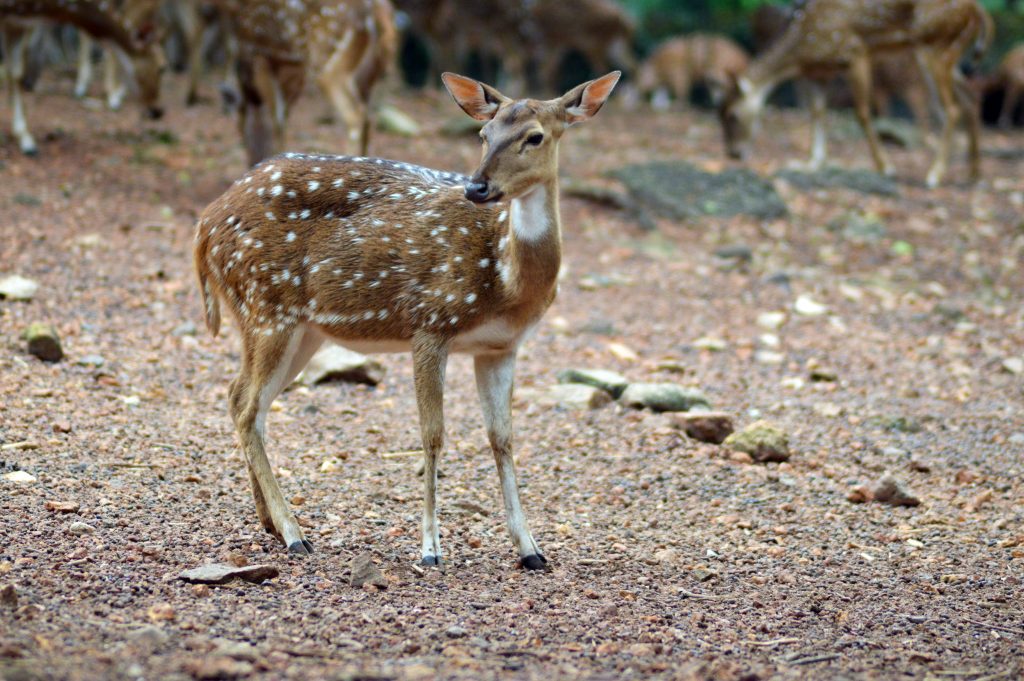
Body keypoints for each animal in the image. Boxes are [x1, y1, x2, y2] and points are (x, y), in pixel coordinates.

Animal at [193, 70, 621, 569]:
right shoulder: (431, 321)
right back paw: (295, 533)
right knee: (247, 407)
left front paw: (531, 549)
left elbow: (503, 439)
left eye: (535, 136)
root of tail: (204, 226)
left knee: (241, 398)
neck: (507, 281)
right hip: (265, 304)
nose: (477, 188)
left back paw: (269, 522)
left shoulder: (501, 347)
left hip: (299, 328)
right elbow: (432, 435)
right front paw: (430, 549)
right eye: (484, 134)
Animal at [212, 0, 397, 166]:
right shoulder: (293, 66)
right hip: (370, 72)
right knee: (368, 116)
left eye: (241, 133)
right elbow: (284, 113)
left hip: (328, 64)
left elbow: (276, 118)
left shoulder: (259, 56)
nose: (251, 163)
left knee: (355, 115)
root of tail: (377, 14)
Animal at [719, 0, 992, 187]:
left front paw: (885, 166)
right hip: (947, 53)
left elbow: (861, 112)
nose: (733, 153)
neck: (800, 52)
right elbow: (816, 112)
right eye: (719, 115)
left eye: (732, 115)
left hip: (936, 45)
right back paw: (973, 173)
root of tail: (977, 11)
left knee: (950, 109)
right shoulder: (818, 73)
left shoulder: (854, 51)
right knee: (970, 98)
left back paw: (934, 174)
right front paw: (811, 163)